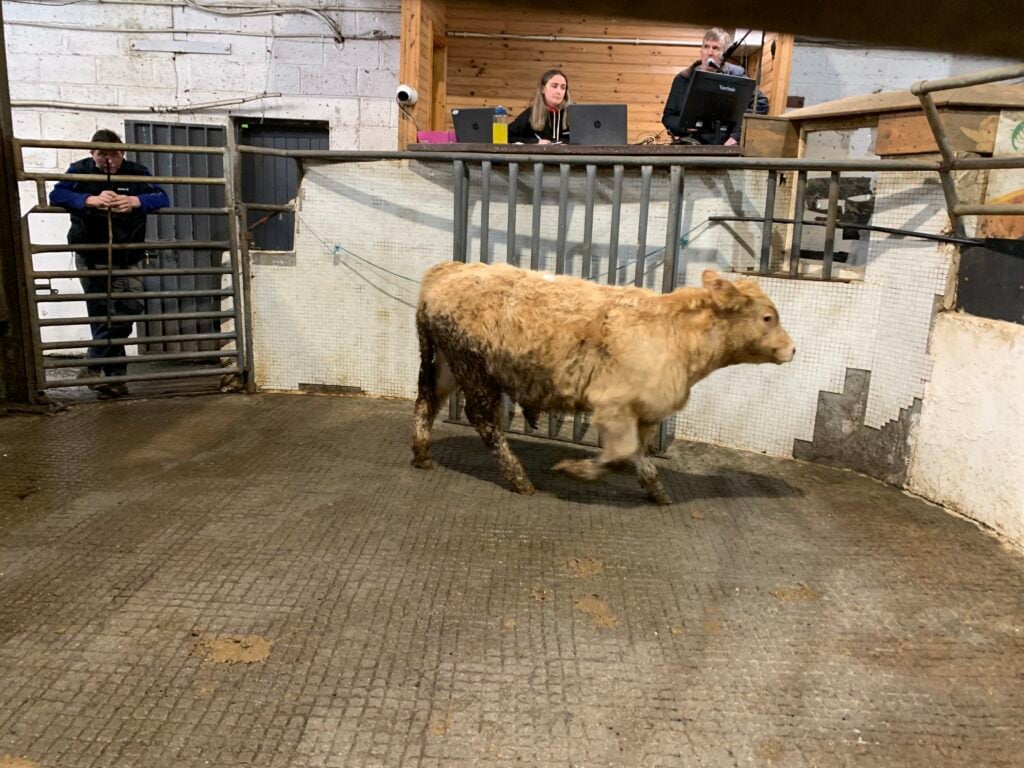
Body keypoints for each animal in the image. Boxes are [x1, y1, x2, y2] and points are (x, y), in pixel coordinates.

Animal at [411, 262, 795, 504]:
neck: (675, 331)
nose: (792, 349)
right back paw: (519, 478)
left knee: (427, 401)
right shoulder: (614, 404)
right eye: (767, 317)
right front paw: (576, 470)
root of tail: (447, 271)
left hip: (447, 364)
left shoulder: (643, 410)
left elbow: (639, 452)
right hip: (473, 368)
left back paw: (422, 455)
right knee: (483, 420)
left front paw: (656, 490)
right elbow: (622, 450)